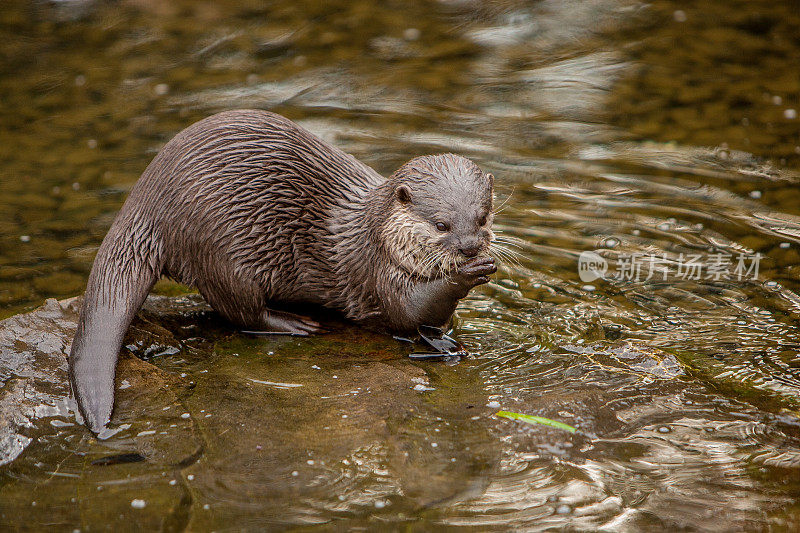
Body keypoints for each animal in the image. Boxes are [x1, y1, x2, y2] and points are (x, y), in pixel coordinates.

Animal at [70, 109, 494, 432]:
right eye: (441, 224)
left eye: (482, 217)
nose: (470, 246)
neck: (378, 234)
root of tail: (147, 200)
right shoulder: (375, 270)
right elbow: (409, 311)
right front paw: (464, 276)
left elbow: (432, 322)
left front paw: (446, 338)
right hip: (222, 254)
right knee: (240, 311)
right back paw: (294, 323)